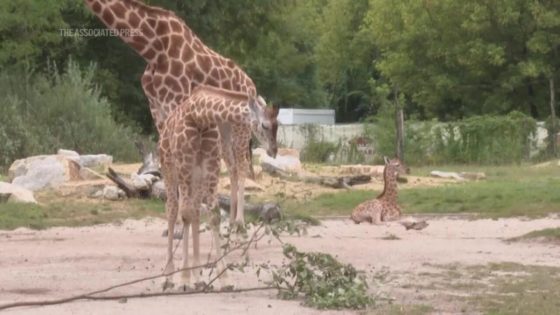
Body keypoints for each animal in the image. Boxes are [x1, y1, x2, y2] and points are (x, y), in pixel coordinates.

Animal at [84, 0, 278, 227]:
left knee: (242, 165)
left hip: (242, 128)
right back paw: (229, 222)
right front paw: (173, 223)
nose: (274, 151)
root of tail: (252, 86)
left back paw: (239, 222)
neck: (153, 48)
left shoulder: (176, 101)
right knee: (231, 165)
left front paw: (181, 223)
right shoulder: (157, 109)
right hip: (224, 129)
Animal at [160, 86, 278, 288]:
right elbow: (184, 214)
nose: (274, 150)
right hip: (170, 170)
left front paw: (224, 278)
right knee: (173, 210)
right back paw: (169, 276)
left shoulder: (210, 168)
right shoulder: (184, 166)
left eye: (278, 124)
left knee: (195, 212)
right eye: (265, 125)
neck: (199, 116)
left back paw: (197, 275)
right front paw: (184, 278)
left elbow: (213, 216)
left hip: (196, 178)